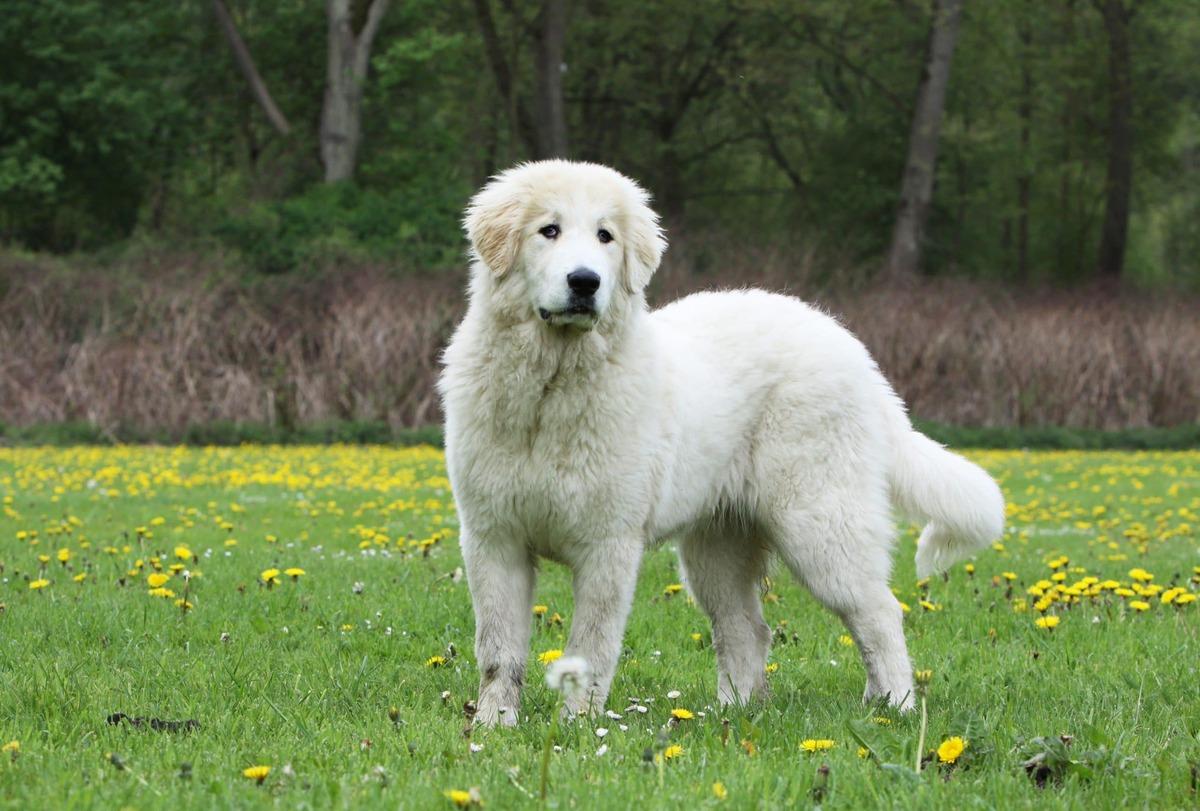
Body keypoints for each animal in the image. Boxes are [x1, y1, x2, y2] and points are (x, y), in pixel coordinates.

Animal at [441, 161, 1003, 724]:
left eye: (605, 236)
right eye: (549, 230)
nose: (585, 281)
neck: (550, 388)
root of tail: (854, 351)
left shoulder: (608, 545)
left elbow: (590, 647)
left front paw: (578, 726)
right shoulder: (494, 538)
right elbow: (499, 649)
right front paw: (494, 725)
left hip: (820, 526)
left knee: (879, 612)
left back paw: (895, 707)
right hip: (717, 547)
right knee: (746, 628)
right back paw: (734, 711)